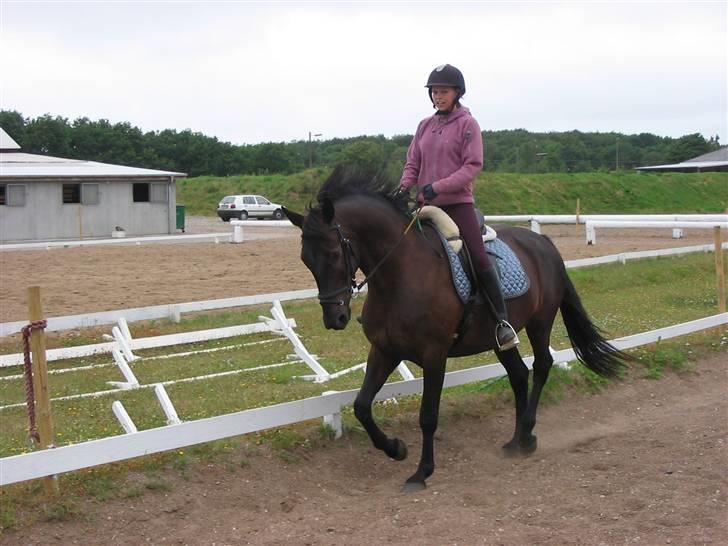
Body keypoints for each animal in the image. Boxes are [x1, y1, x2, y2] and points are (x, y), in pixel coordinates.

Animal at [282, 166, 628, 488]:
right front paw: (396, 449)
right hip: (499, 338)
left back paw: (529, 436)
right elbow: (362, 406)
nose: (334, 319)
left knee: (542, 365)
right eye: (305, 259)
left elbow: (428, 415)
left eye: (333, 253)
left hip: (540, 322)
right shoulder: (384, 349)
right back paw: (516, 441)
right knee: (518, 374)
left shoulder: (434, 355)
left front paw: (422, 472)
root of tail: (541, 241)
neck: (401, 275)